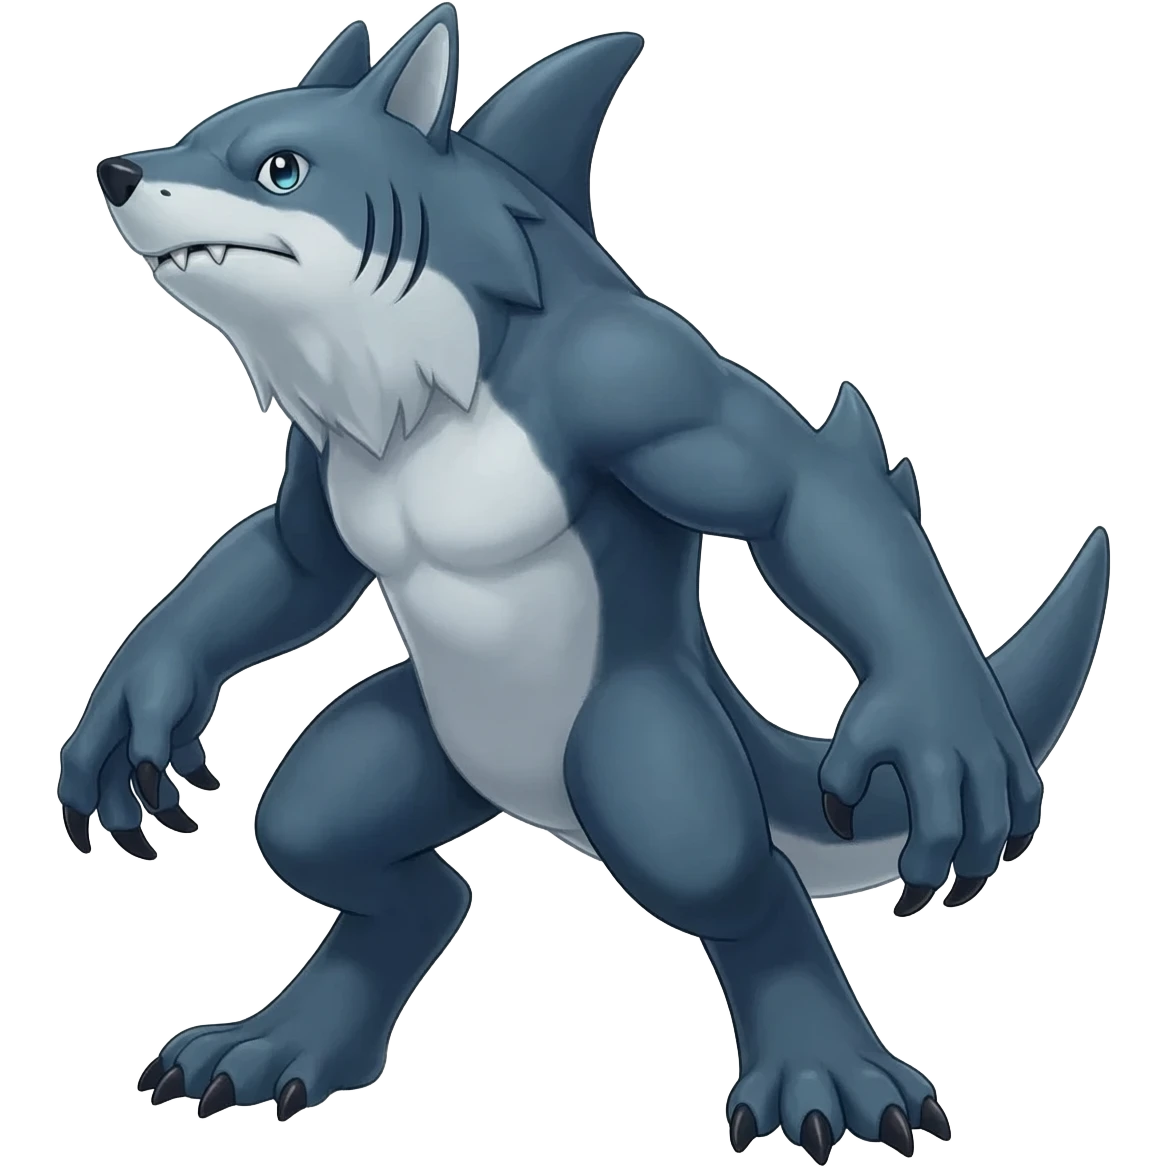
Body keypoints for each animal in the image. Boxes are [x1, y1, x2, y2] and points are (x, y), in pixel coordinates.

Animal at [67, 5, 1110, 1159]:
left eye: (280, 168)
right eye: (195, 133)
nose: (119, 169)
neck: (436, 374)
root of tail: (533, 803)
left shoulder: (622, 375)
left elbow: (789, 493)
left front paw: (941, 729)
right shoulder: (320, 455)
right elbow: (294, 562)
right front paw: (132, 707)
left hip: (637, 747)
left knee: (727, 877)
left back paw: (823, 1074)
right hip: (430, 756)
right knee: (336, 844)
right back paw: (283, 1043)